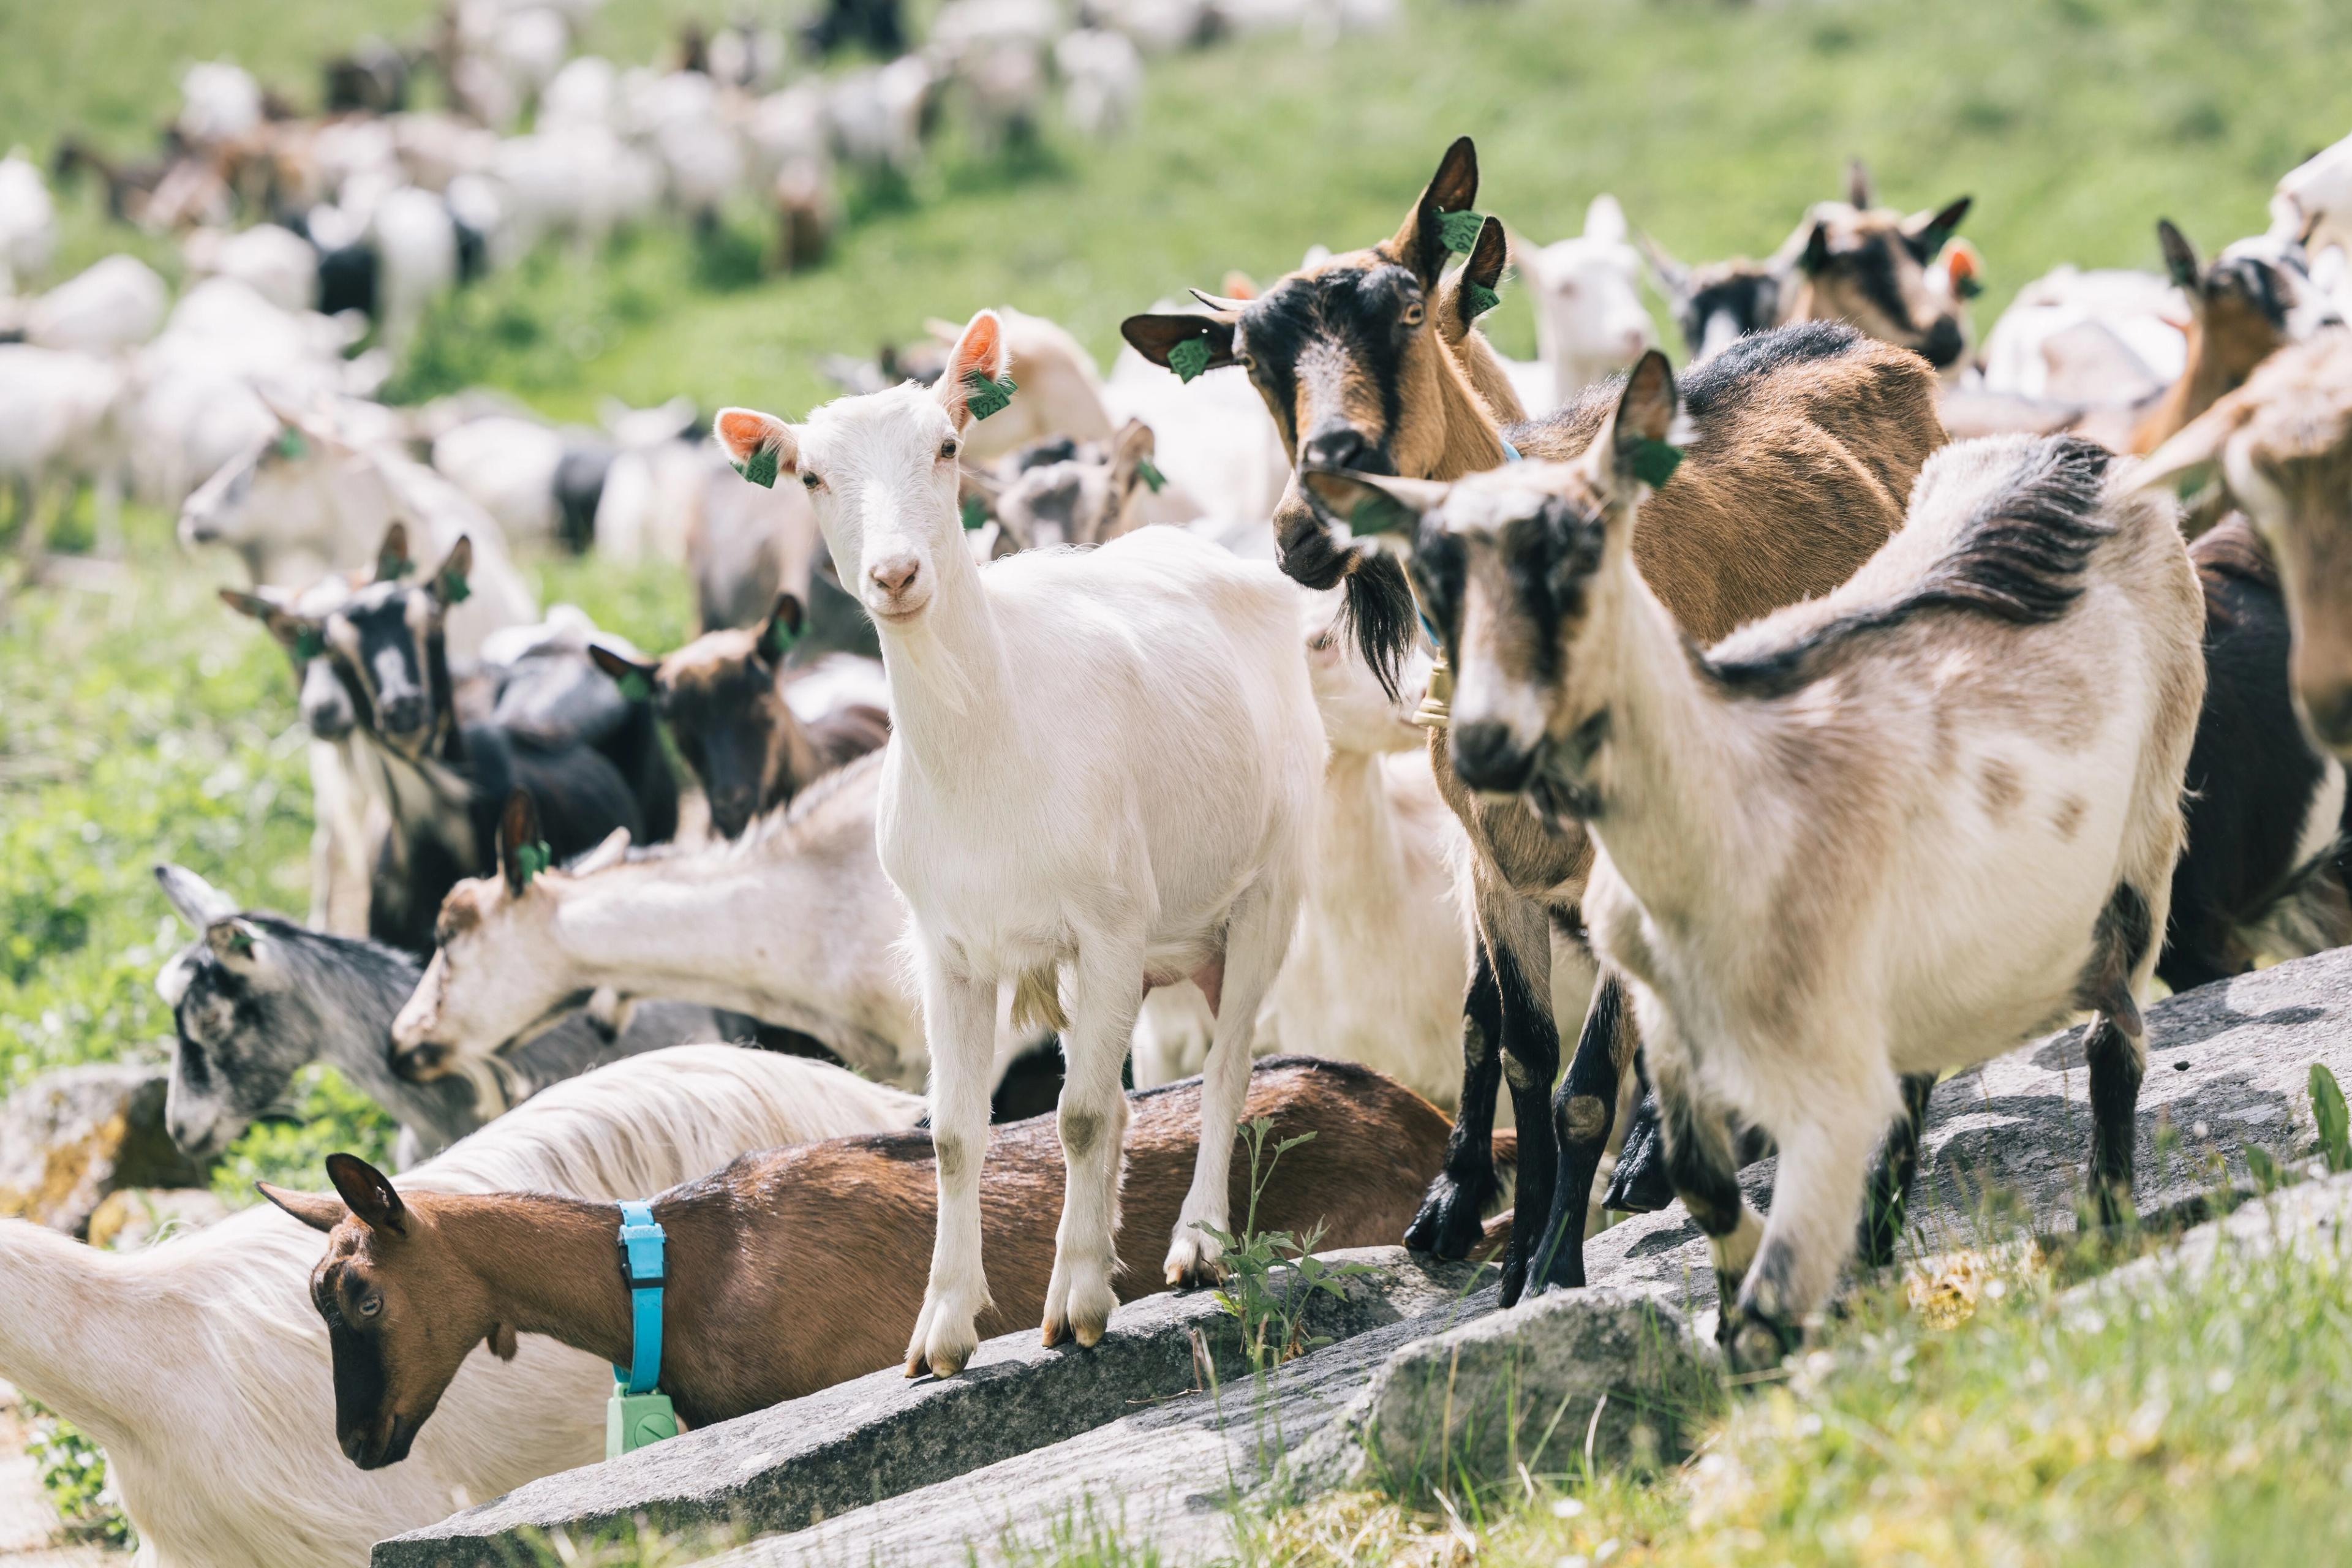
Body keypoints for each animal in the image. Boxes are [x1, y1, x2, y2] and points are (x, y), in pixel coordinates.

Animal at [711, 308, 1323, 1375]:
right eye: (810, 477)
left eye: (947, 447)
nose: (896, 575)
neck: (991, 753)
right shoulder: (948, 950)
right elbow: (958, 1134)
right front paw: (943, 1330)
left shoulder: (1110, 923)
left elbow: (1075, 1116)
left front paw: (1073, 1305)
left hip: (1265, 891)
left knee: (1228, 1066)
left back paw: (1197, 1245)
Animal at [1124, 137, 1945, 1303]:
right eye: (1250, 363)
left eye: (1410, 312)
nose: (1314, 520)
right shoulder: (1495, 864)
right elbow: (1514, 1051)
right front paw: (1502, 1255)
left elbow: (1587, 1082)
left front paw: (1556, 1264)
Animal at [1345, 372, 2202, 1367]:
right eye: (1435, 576)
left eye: (1581, 555)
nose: (1482, 740)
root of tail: (2073, 453)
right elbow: (1696, 1165)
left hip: (2148, 822)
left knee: (2113, 1031)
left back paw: (2102, 1215)